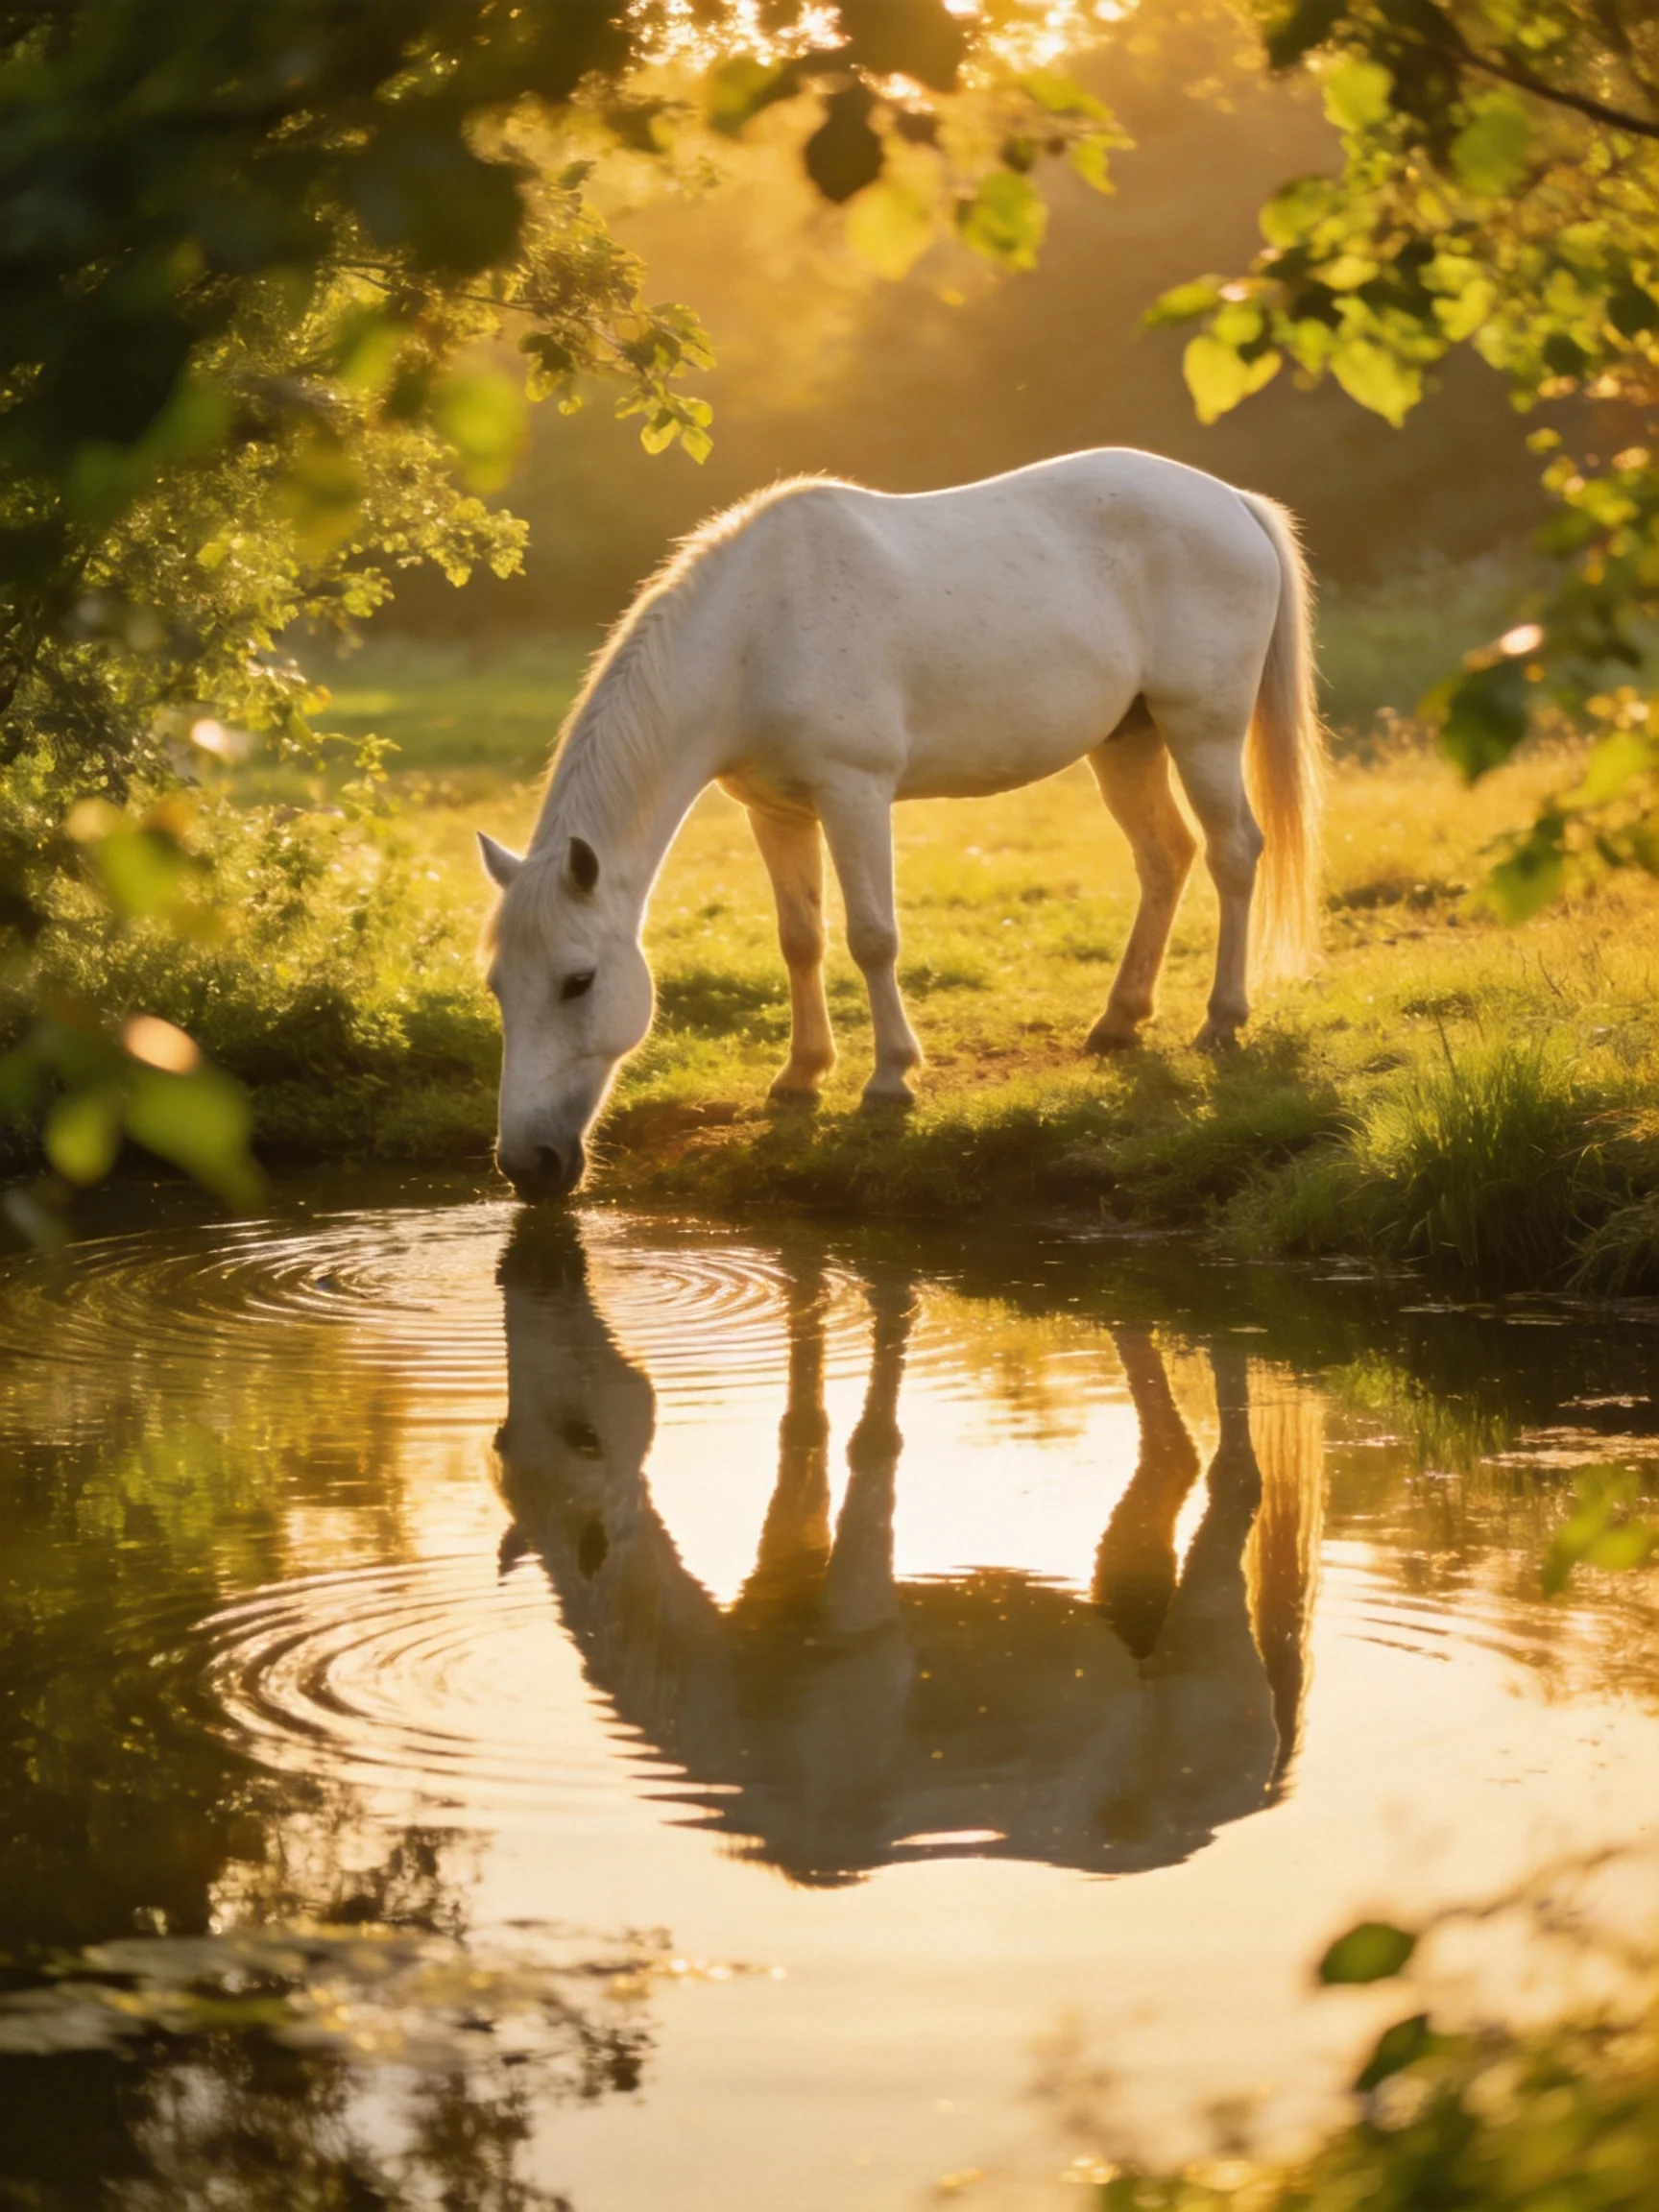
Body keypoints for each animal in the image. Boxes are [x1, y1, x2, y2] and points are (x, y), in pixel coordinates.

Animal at [478, 449, 1323, 1199]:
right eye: (496, 985)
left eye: (577, 982)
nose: (529, 1165)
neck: (755, 634)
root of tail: (1230, 501)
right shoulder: (774, 812)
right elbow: (801, 939)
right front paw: (800, 1077)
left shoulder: (854, 792)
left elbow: (871, 937)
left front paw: (888, 1083)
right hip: (1127, 742)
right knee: (1165, 858)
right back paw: (1118, 1024)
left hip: (1201, 730)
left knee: (1232, 853)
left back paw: (1222, 1023)